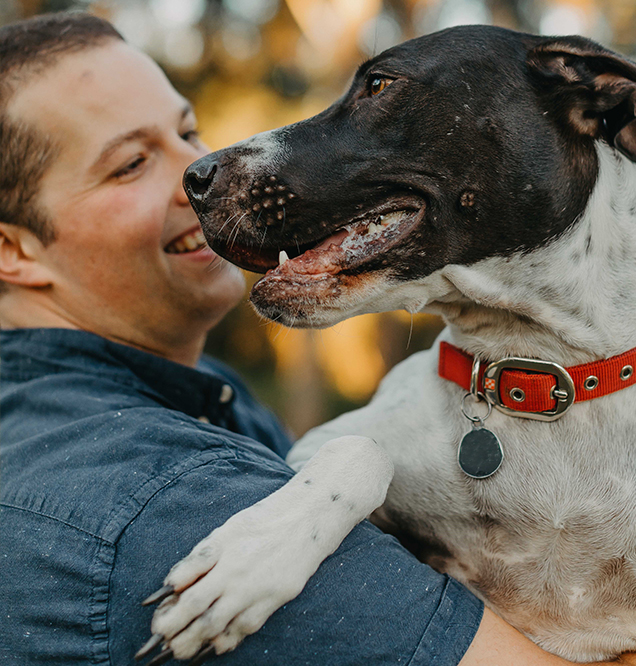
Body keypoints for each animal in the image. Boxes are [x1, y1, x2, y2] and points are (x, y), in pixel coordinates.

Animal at [138, 26, 636, 664]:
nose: (194, 176)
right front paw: (247, 559)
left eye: (379, 84)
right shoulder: (313, 448)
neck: (532, 367)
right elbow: (361, 448)